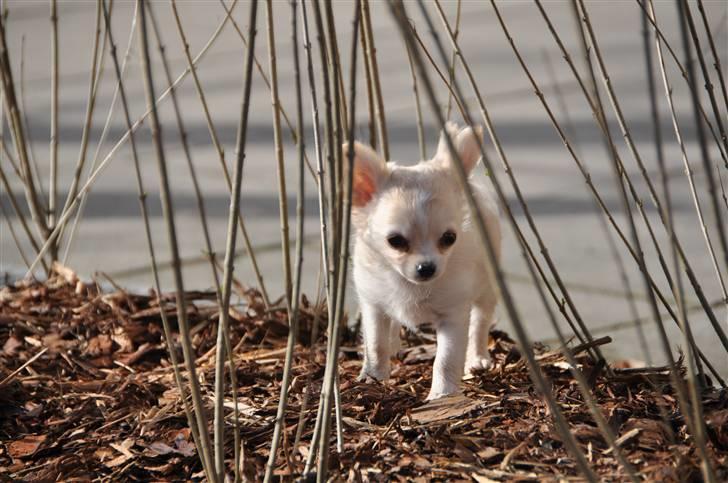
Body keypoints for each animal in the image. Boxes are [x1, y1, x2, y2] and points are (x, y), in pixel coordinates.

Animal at [348, 122, 500, 400]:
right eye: (395, 241)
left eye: (449, 238)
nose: (426, 267)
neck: (408, 286)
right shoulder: (373, 304)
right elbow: (375, 344)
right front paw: (372, 378)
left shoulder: (453, 315)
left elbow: (445, 359)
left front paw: (442, 395)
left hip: (487, 285)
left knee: (480, 322)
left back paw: (477, 358)